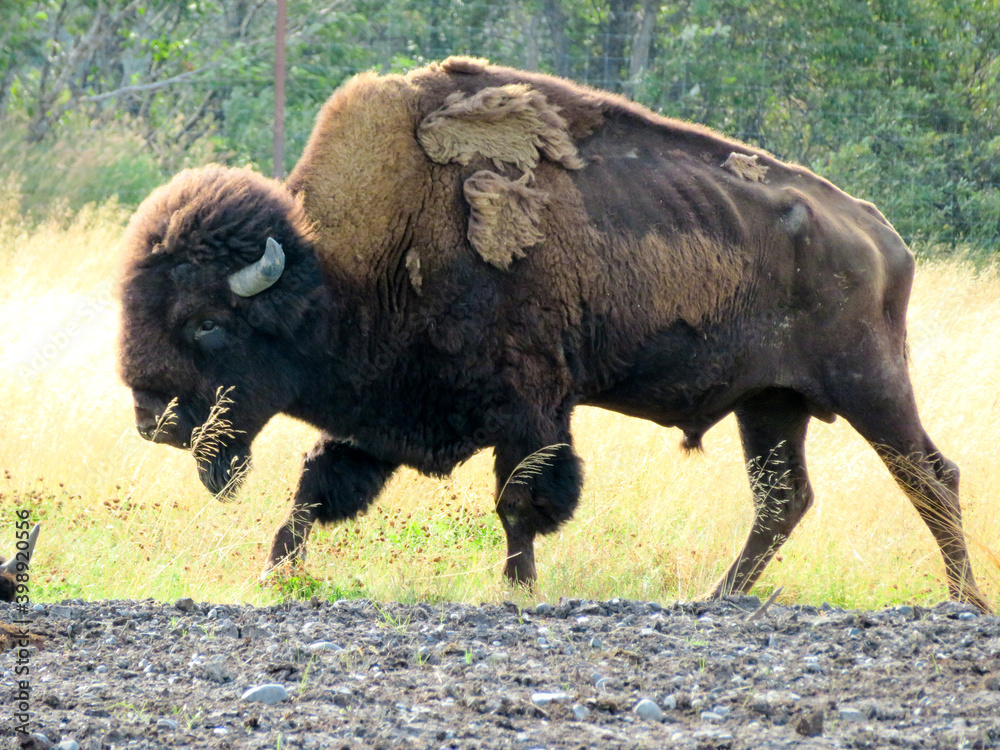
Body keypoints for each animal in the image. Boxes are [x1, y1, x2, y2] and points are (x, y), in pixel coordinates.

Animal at [119, 57, 992, 612]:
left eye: (205, 323)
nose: (152, 419)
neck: (343, 265)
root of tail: (879, 234)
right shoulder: (376, 420)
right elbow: (315, 493)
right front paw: (273, 578)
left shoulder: (531, 407)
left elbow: (521, 501)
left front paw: (516, 588)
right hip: (770, 405)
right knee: (784, 499)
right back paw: (721, 596)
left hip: (869, 383)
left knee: (929, 475)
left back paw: (963, 598)